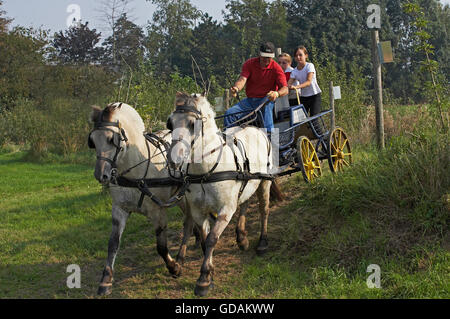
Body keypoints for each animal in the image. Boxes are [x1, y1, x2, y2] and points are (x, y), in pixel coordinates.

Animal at [89, 104, 198, 296]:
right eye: (93, 141)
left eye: (111, 139)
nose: (101, 175)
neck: (136, 170)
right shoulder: (119, 209)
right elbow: (112, 244)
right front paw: (106, 280)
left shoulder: (158, 212)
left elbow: (161, 247)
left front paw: (174, 267)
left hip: (186, 196)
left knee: (188, 223)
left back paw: (183, 256)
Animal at [165, 92, 270, 298]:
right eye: (170, 123)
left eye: (192, 124)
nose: (174, 159)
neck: (206, 170)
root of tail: (255, 128)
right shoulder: (198, 211)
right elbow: (205, 239)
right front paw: (209, 273)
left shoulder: (225, 210)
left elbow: (212, 239)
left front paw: (204, 280)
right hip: (247, 183)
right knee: (244, 204)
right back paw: (242, 238)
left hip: (264, 182)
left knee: (264, 209)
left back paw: (262, 242)